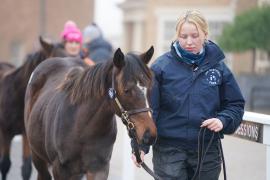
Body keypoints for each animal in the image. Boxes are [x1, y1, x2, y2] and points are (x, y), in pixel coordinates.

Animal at [24, 46, 157, 180]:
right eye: (126, 90)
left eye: (149, 88)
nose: (149, 135)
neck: (82, 129)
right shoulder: (60, 170)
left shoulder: (99, 169)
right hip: (37, 156)